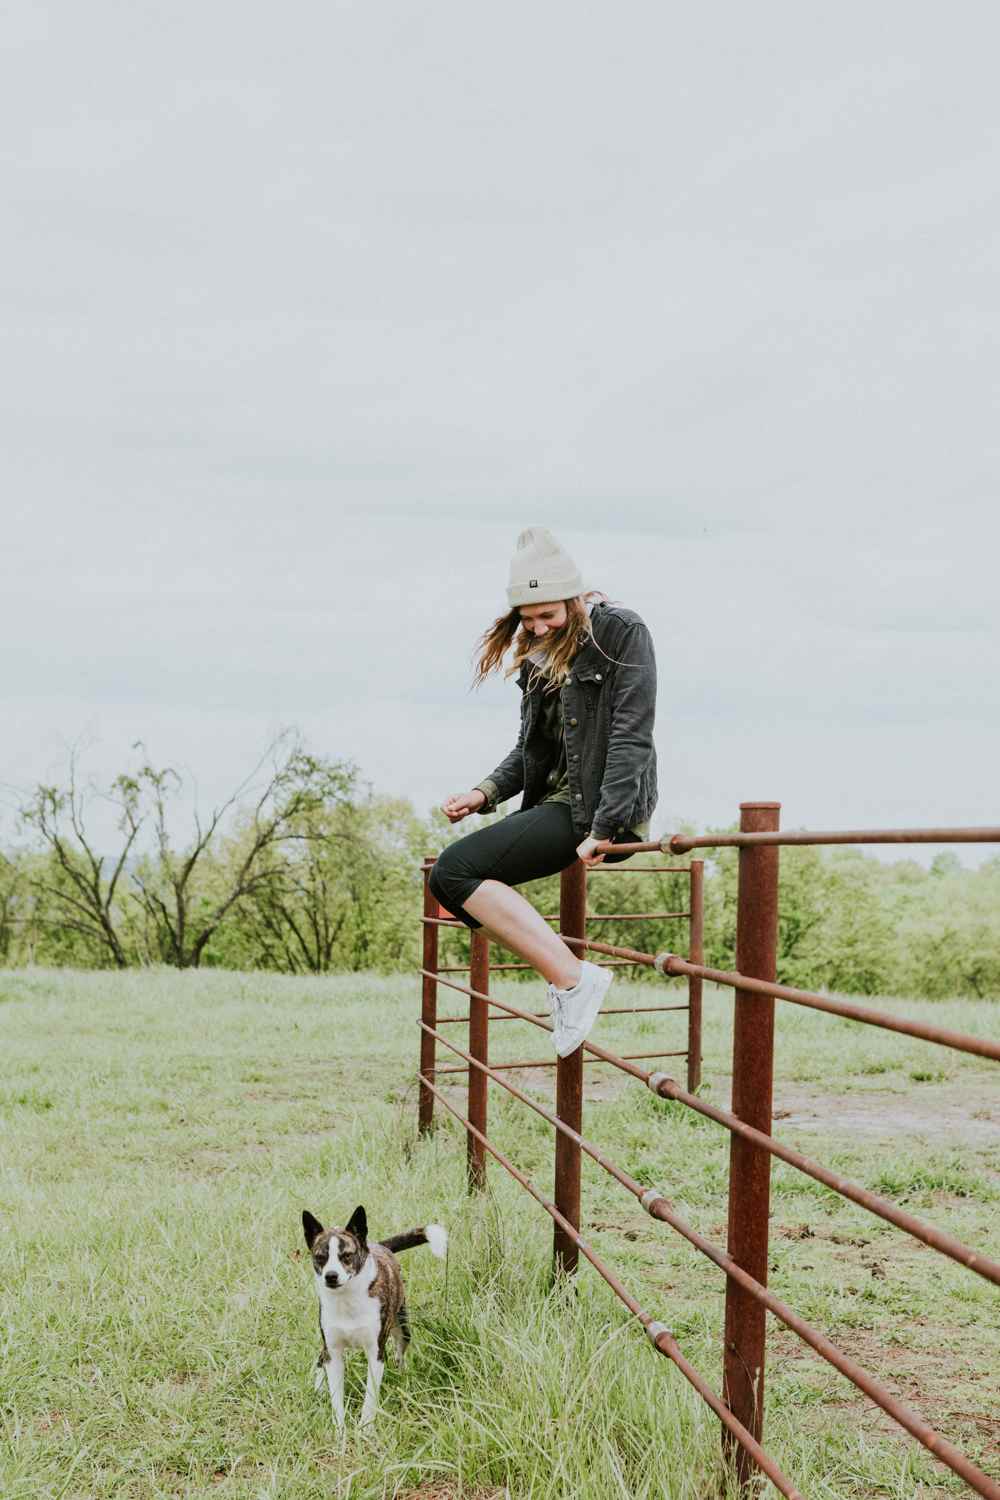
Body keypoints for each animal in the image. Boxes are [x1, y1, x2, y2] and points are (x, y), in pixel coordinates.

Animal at [301, 1206, 449, 1428]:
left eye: (346, 1256)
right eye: (320, 1257)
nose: (331, 1276)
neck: (347, 1298)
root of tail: (377, 1245)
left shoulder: (376, 1352)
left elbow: (370, 1398)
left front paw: (365, 1428)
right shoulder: (333, 1351)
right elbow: (336, 1398)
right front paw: (340, 1430)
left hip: (402, 1327)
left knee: (400, 1351)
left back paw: (401, 1374)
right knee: (321, 1356)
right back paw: (319, 1389)